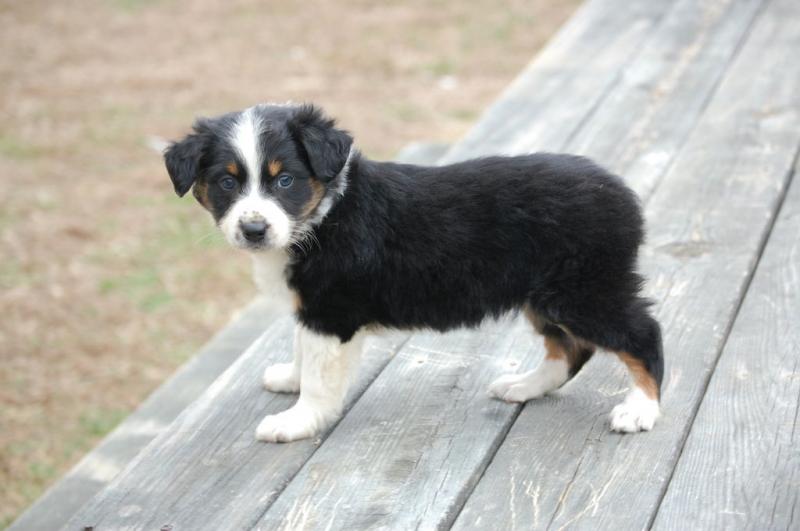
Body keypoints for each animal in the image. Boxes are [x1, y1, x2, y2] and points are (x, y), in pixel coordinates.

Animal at [162, 102, 664, 442]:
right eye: (227, 182)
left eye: (284, 180)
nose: (254, 230)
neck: (324, 216)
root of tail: (620, 189)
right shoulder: (313, 310)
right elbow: (303, 351)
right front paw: (290, 378)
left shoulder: (332, 312)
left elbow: (321, 377)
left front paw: (297, 421)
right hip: (545, 294)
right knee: (570, 348)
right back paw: (524, 386)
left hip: (585, 290)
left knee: (642, 335)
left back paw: (640, 410)